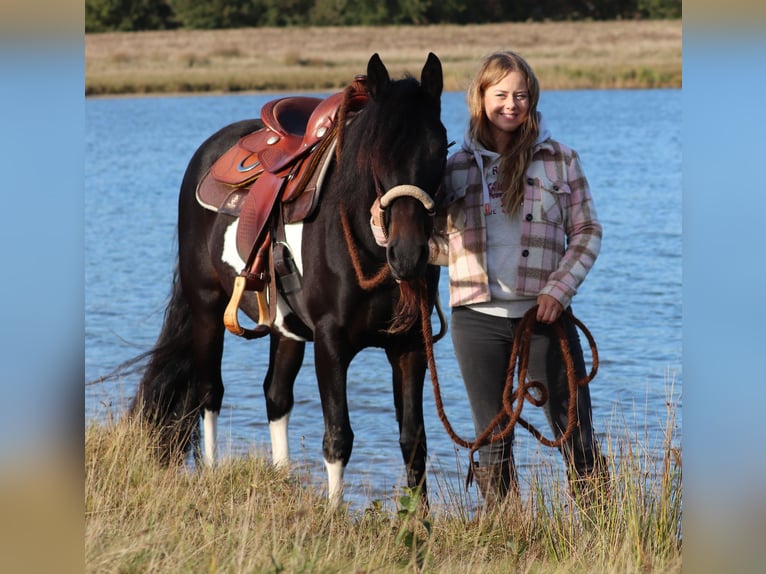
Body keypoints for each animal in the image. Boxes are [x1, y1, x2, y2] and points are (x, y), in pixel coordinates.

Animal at [129, 53, 448, 508]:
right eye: (376, 153)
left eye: (440, 148)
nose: (408, 255)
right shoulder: (331, 343)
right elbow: (338, 436)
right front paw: (334, 515)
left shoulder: (409, 345)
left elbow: (413, 440)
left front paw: (420, 520)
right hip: (207, 308)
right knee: (209, 393)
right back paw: (211, 470)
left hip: (286, 329)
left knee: (275, 395)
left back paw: (281, 480)